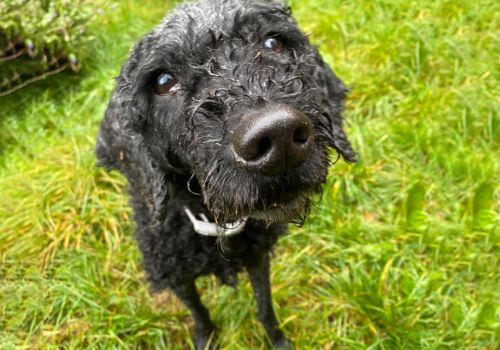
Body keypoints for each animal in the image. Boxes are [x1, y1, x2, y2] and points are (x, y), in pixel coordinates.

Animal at [96, 0, 356, 348]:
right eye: (162, 81)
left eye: (273, 42)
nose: (278, 135)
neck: (216, 226)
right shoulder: (178, 277)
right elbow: (199, 313)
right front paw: (205, 338)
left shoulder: (258, 257)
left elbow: (265, 308)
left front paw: (277, 340)